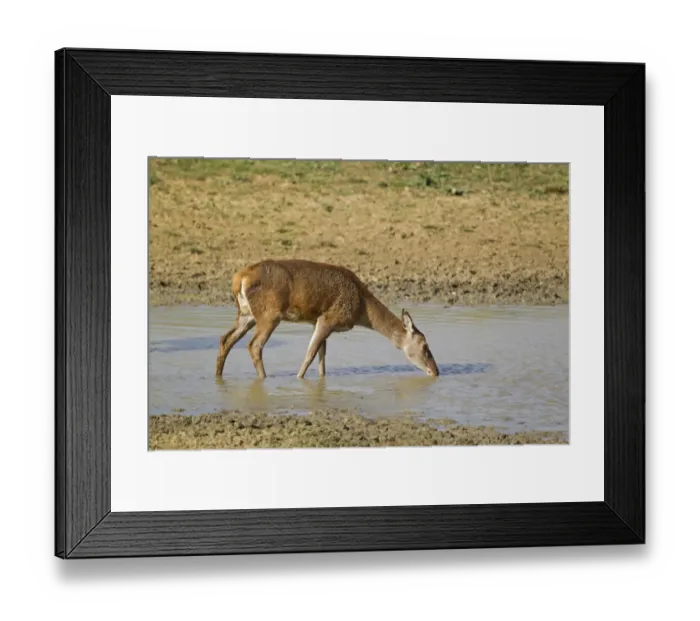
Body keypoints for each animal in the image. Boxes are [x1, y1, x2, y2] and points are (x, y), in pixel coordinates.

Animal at [215, 259, 440, 380]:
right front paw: (298, 378)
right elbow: (310, 354)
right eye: (425, 346)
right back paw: (264, 378)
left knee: (225, 339)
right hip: (269, 315)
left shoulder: (318, 321)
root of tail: (240, 279)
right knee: (254, 345)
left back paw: (218, 375)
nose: (436, 371)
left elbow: (322, 356)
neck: (361, 309)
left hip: (246, 314)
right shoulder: (329, 318)